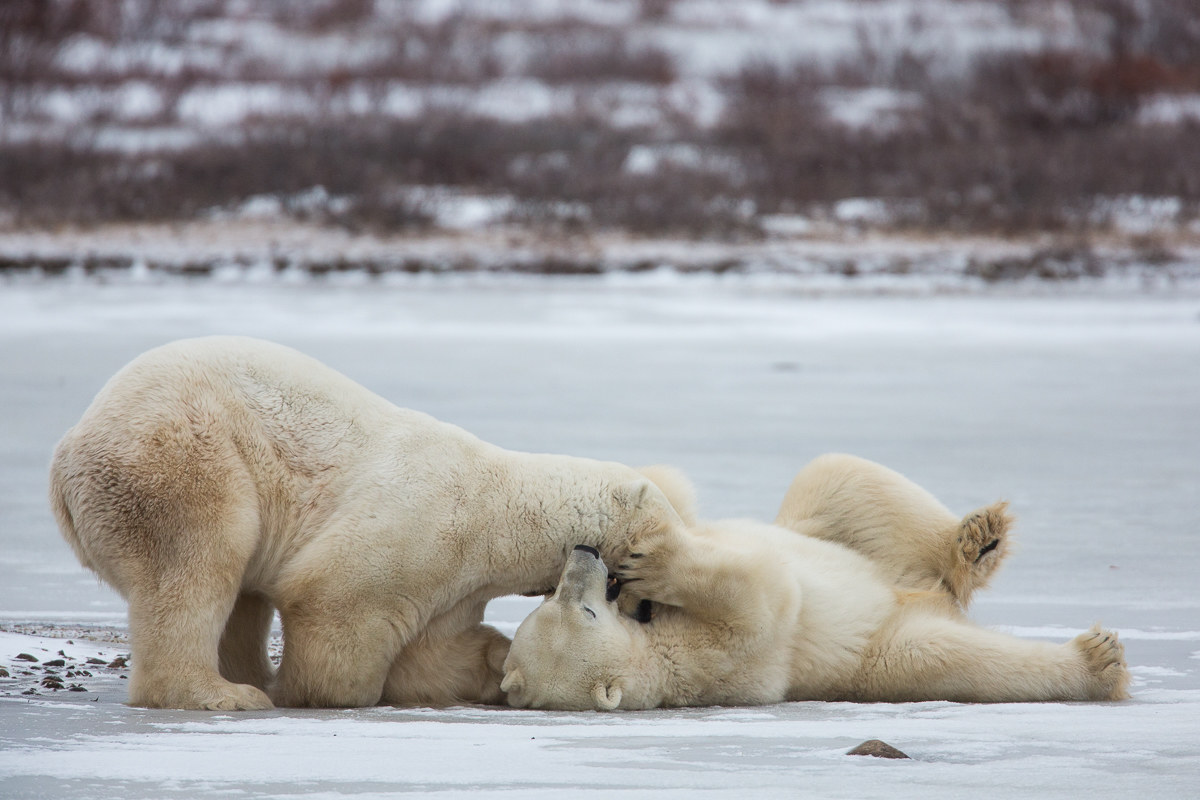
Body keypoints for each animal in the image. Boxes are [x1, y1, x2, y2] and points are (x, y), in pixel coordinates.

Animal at [48, 336, 686, 710]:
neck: (504, 507)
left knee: (238, 595)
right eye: (649, 555)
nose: (652, 610)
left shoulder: (459, 579)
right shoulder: (427, 522)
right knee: (198, 562)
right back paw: (227, 694)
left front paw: (491, 662)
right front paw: (306, 691)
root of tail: (65, 456)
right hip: (180, 457)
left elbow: (435, 648)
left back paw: (246, 677)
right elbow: (335, 603)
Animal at [500, 458, 1129, 710]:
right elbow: (764, 597)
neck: (647, 637)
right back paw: (1098, 661)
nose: (584, 555)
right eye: (577, 610)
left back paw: (978, 539)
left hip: (865, 544)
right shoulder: (708, 661)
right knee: (958, 658)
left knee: (838, 476)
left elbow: (674, 497)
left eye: (549, 601)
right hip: (885, 651)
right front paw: (652, 563)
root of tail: (920, 593)